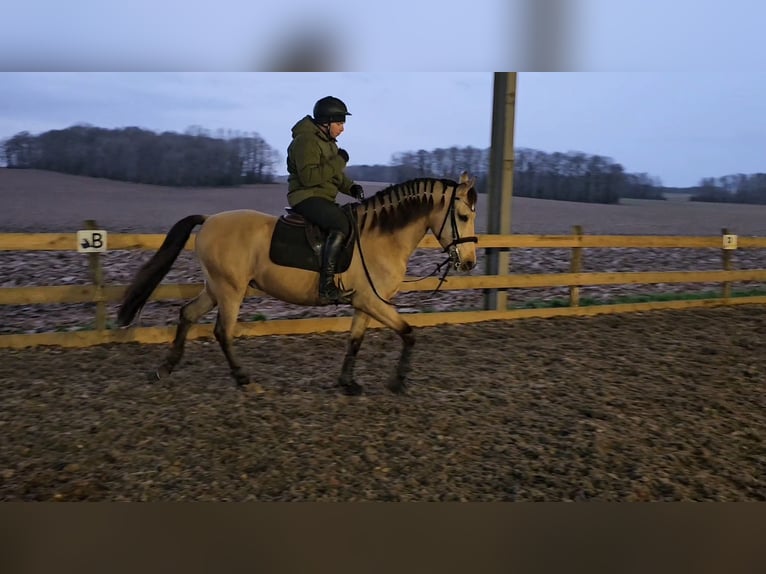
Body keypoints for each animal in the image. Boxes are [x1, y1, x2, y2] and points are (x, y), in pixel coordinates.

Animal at [118, 172, 480, 396]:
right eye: (463, 217)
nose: (469, 262)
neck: (381, 237)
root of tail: (209, 220)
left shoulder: (364, 303)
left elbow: (355, 341)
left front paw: (347, 383)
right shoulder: (374, 302)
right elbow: (409, 333)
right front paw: (399, 382)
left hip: (215, 288)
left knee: (188, 315)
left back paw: (164, 369)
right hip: (231, 291)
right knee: (222, 331)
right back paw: (245, 381)